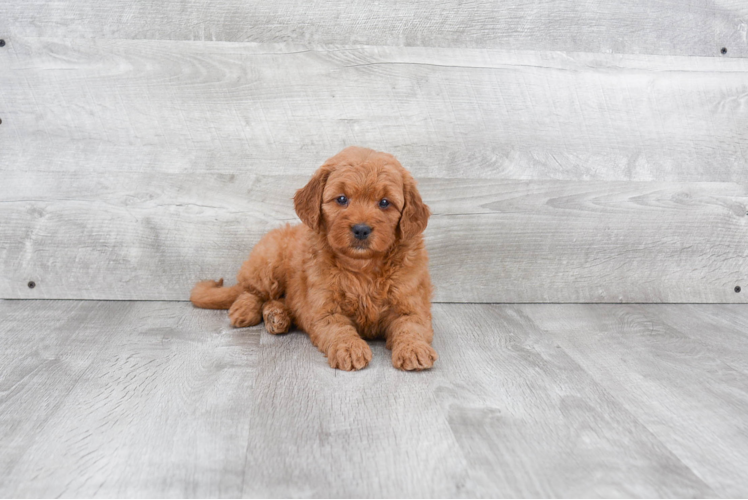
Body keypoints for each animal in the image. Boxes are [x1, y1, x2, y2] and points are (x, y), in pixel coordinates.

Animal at [191, 146, 438, 370]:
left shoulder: (411, 304)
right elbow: (339, 329)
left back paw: (277, 316)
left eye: (385, 202)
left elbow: (410, 327)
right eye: (341, 199)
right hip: (269, 261)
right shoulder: (325, 309)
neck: (362, 267)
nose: (361, 229)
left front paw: (414, 349)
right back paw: (246, 310)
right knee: (251, 290)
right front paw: (349, 348)